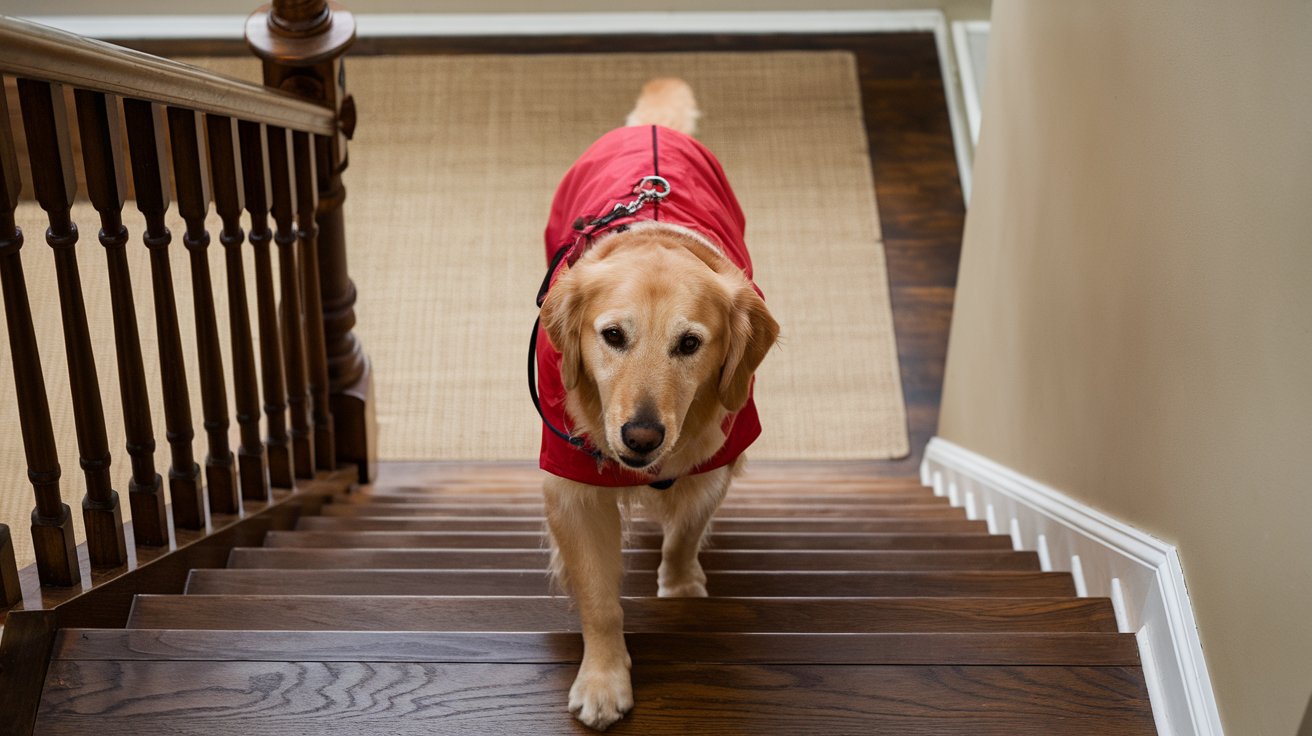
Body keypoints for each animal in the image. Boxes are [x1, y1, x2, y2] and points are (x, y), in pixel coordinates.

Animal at [532, 81, 776, 729]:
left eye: (689, 344)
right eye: (613, 335)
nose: (641, 437)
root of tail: (653, 129)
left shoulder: (719, 457)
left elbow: (686, 528)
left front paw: (681, 584)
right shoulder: (569, 483)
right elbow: (599, 598)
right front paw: (603, 679)